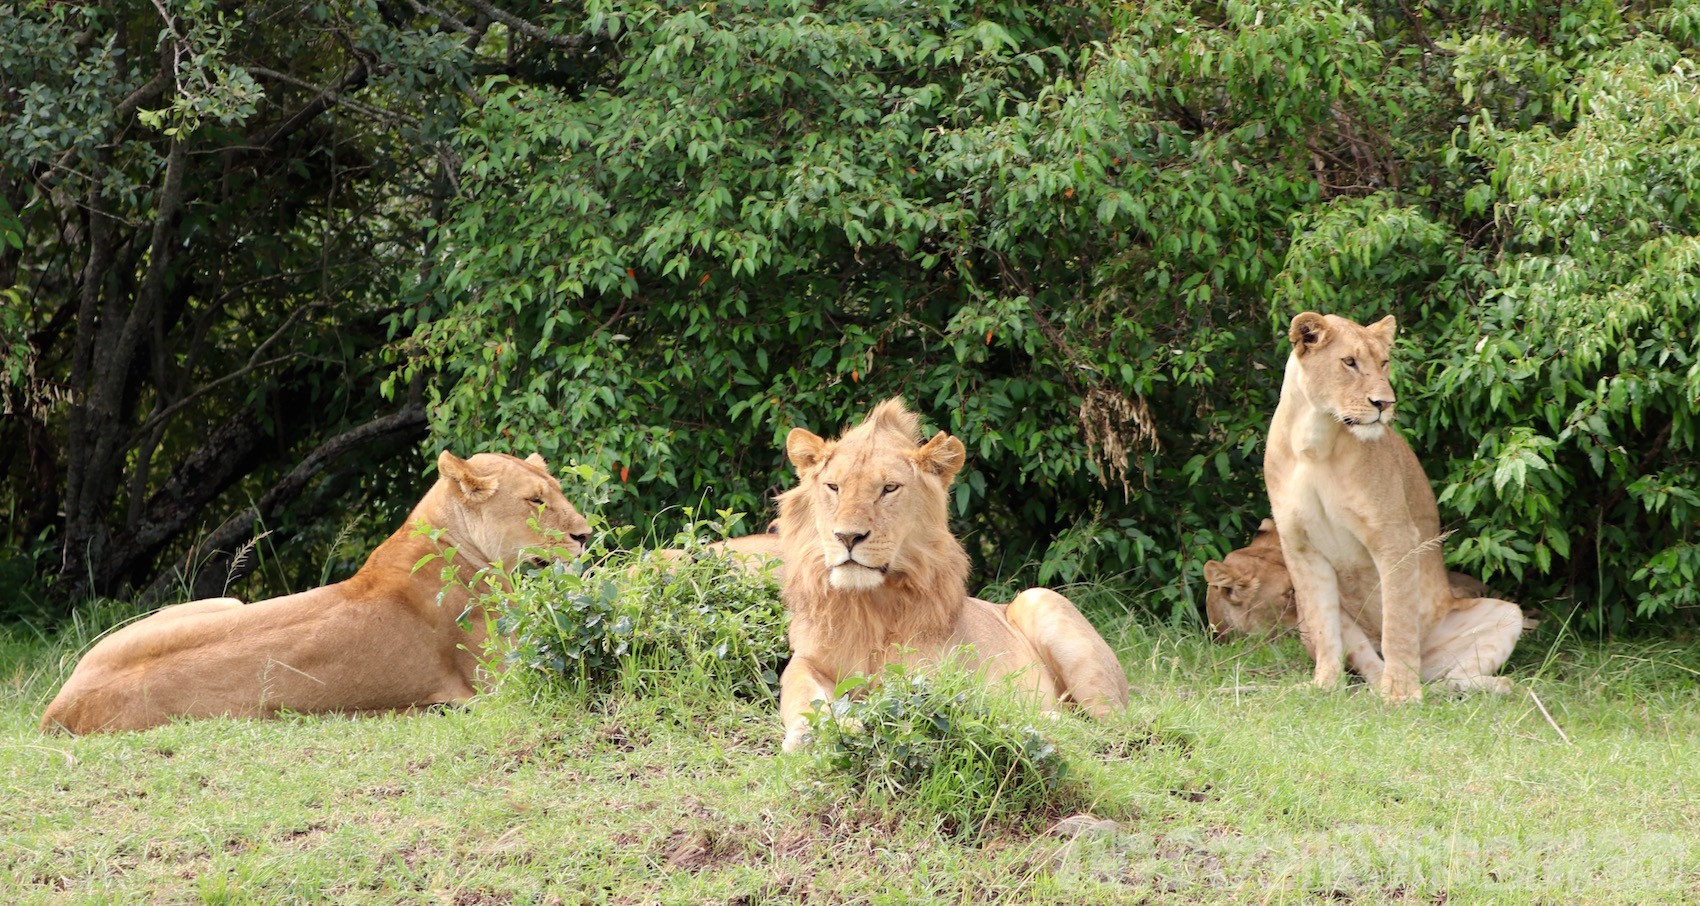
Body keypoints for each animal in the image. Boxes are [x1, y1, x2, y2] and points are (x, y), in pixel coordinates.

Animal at [41, 451, 592, 735]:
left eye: (559, 489)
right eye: (535, 501)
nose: (586, 535)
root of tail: (57, 709)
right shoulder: (506, 684)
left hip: (222, 602)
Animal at [774, 398, 1129, 751]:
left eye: (889, 488)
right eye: (833, 487)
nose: (847, 537)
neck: (869, 604)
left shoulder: (933, 679)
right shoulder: (807, 661)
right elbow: (800, 691)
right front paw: (809, 734)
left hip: (1042, 603)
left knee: (1106, 725)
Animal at [1263, 312, 1524, 701]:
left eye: (1383, 363)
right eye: (1349, 362)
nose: (1384, 404)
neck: (1315, 440)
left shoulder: (1395, 537)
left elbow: (1398, 620)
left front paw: (1400, 694)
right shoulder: (1300, 548)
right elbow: (1326, 629)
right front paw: (1325, 686)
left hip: (1506, 614)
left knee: (1448, 675)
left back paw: (1483, 686)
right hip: (1304, 618)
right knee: (1370, 663)